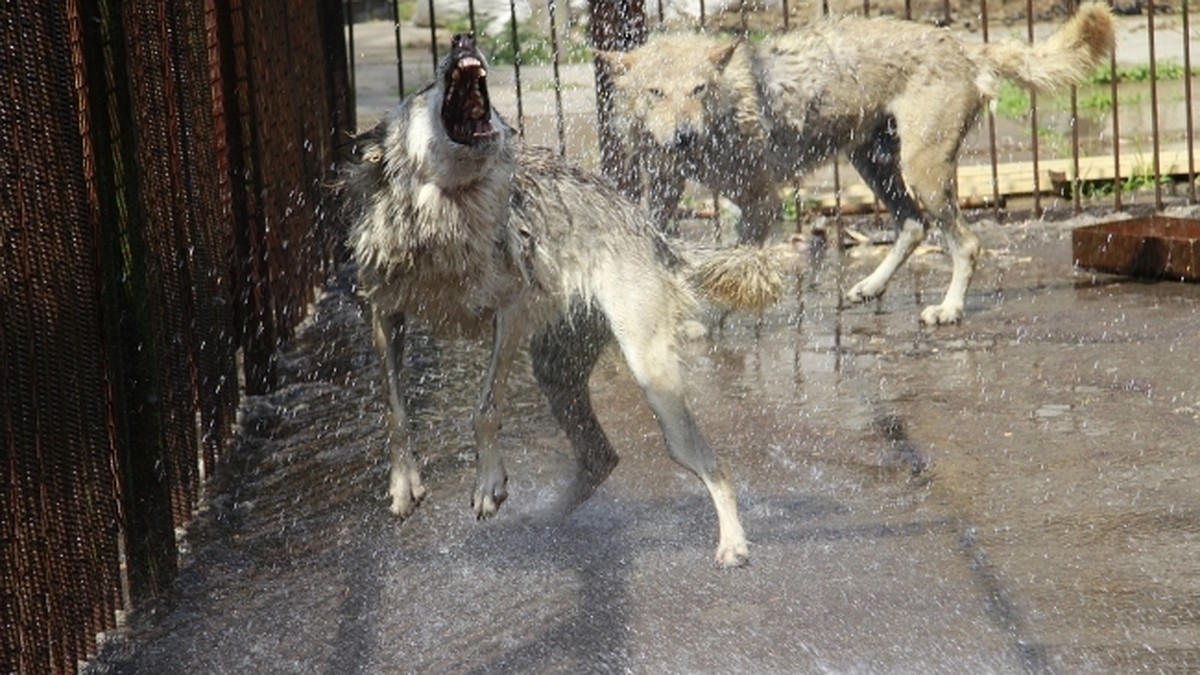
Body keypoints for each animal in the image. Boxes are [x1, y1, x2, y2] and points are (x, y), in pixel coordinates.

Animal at [340, 34, 787, 564]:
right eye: (425, 89)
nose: (463, 39)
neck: (449, 215)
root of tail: (648, 226)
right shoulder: (385, 311)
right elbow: (394, 408)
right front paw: (404, 486)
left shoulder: (509, 311)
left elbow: (485, 408)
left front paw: (488, 484)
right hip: (557, 374)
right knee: (602, 456)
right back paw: (543, 520)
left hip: (652, 379)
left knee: (711, 464)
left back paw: (733, 545)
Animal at [600, 3, 1113, 321]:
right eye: (656, 92)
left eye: (698, 90)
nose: (683, 135)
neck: (723, 113)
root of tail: (963, 45)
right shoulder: (669, 193)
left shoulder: (762, 203)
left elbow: (728, 264)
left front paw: (710, 312)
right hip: (876, 167)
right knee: (913, 227)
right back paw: (869, 287)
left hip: (922, 174)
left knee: (965, 243)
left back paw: (948, 310)